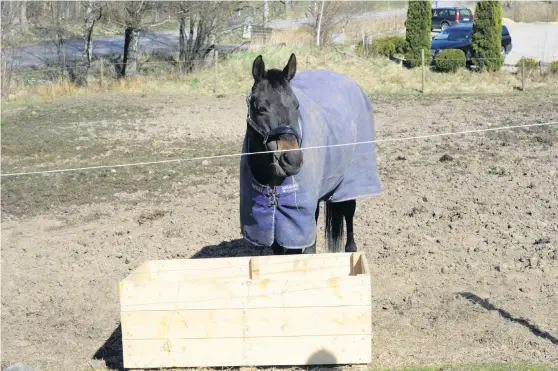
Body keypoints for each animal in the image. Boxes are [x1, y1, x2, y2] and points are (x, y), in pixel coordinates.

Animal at [238, 53, 382, 256]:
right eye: (260, 108)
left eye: (296, 105)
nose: (292, 159)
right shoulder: (279, 222)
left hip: (349, 182)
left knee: (348, 211)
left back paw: (351, 249)